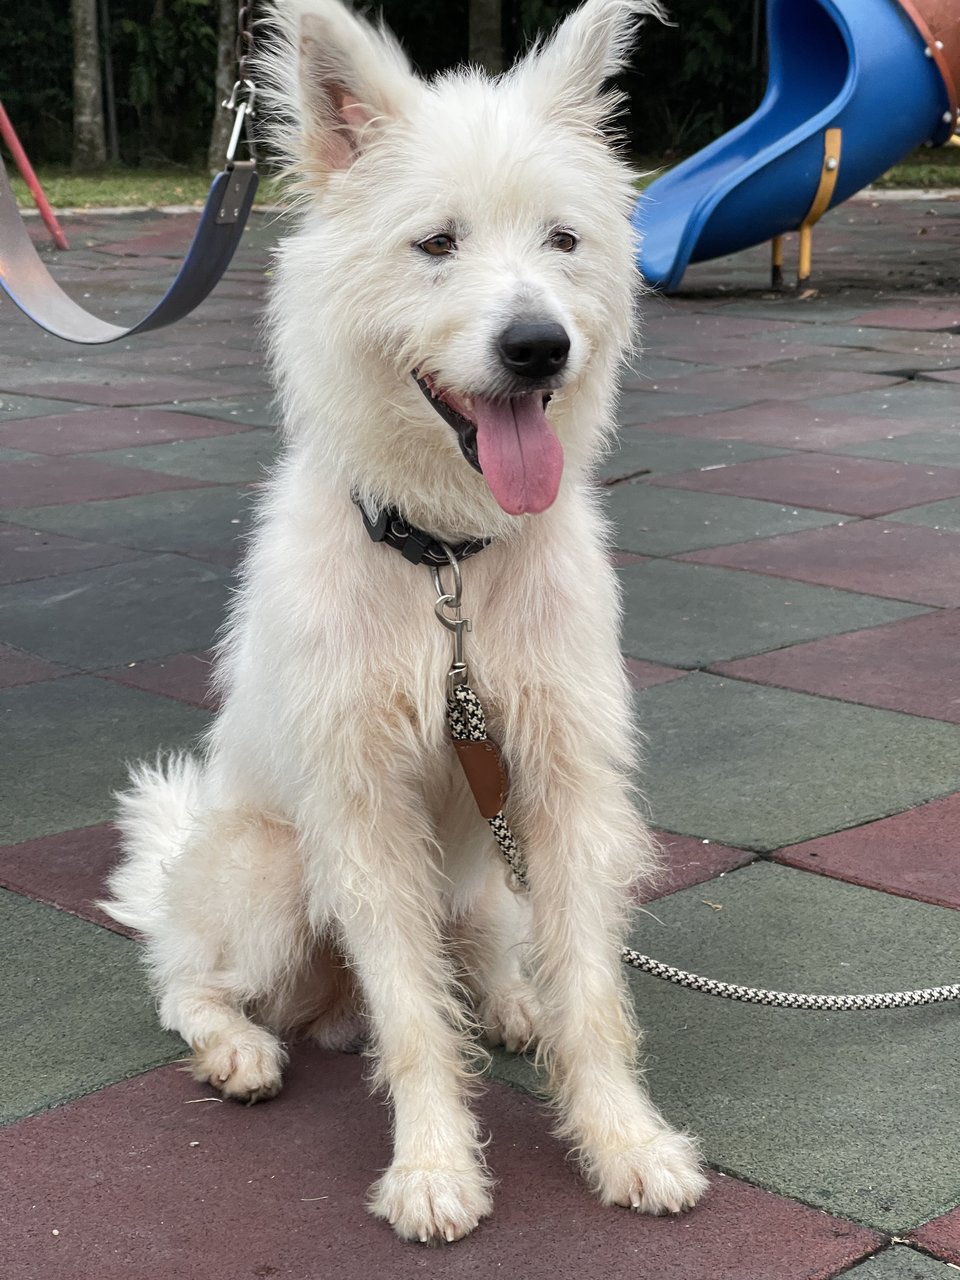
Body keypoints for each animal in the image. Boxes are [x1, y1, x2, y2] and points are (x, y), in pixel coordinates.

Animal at [103, 0, 706, 1239]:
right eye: (436, 243)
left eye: (563, 240)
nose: (538, 344)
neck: (445, 565)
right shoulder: (364, 817)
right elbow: (416, 1018)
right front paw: (434, 1166)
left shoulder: (563, 789)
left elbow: (592, 994)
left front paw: (625, 1141)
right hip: (271, 874)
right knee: (191, 980)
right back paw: (237, 1047)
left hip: (488, 886)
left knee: (490, 963)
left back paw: (513, 1003)